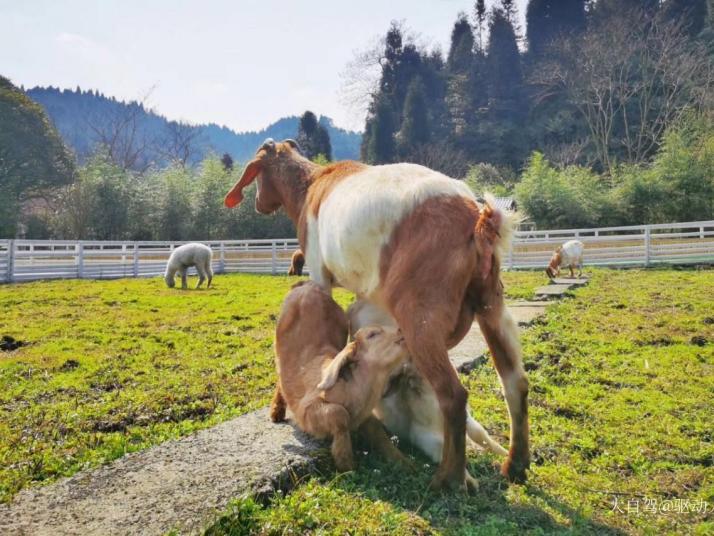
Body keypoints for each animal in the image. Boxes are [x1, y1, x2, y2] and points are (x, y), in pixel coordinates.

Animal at [270, 278, 408, 472]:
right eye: (373, 334)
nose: (401, 330)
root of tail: (307, 285)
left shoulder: (365, 416)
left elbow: (378, 431)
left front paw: (407, 463)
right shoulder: (307, 410)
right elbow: (339, 414)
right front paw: (346, 464)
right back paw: (276, 414)